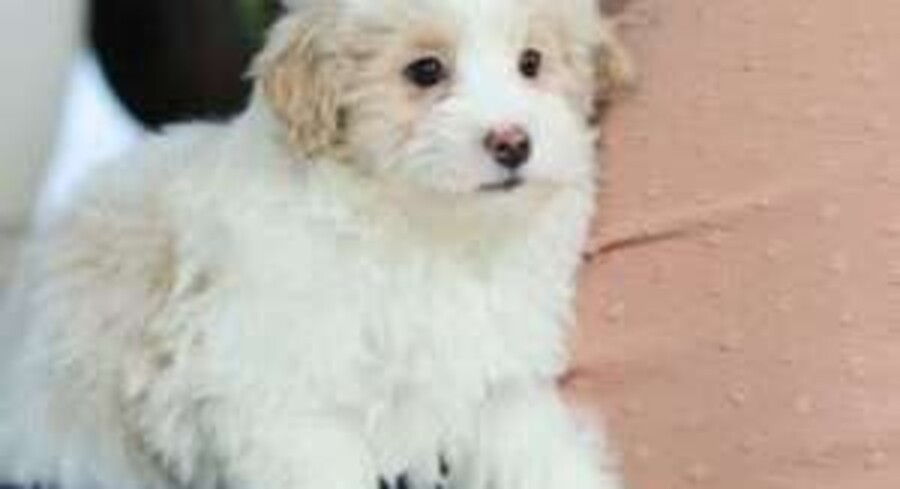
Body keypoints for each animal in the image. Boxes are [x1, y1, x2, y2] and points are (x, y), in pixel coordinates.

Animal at [0, 1, 631, 489]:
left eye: (531, 62)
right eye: (425, 70)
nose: (513, 142)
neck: (426, 232)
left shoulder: (501, 382)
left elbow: (539, 451)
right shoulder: (285, 401)